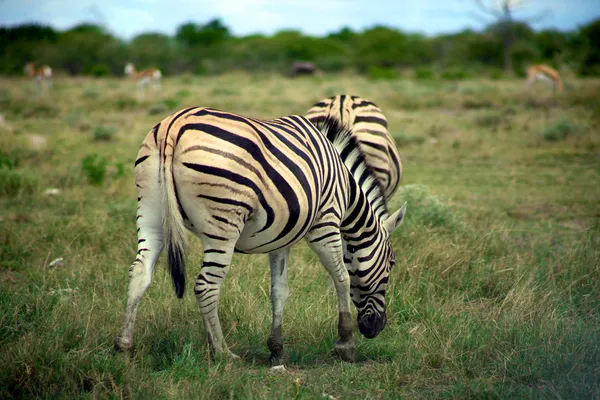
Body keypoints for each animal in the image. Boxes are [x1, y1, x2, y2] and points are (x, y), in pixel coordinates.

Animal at [113, 106, 408, 362]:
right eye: (392, 263)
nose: (376, 328)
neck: (347, 191)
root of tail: (173, 125)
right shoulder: (325, 223)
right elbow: (343, 278)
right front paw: (345, 344)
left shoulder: (282, 238)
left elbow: (279, 291)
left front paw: (276, 349)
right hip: (224, 223)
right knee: (206, 285)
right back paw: (222, 353)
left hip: (150, 208)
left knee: (140, 272)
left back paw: (124, 345)